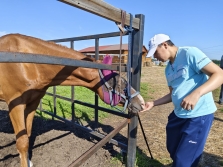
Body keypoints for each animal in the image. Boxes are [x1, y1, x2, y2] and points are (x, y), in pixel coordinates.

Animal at [0, 34, 145, 167]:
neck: (27, 63)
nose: (141, 102)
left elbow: (28, 135)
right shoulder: (15, 105)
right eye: (119, 83)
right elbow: (22, 142)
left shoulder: (32, 103)